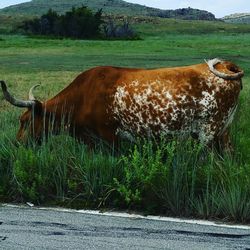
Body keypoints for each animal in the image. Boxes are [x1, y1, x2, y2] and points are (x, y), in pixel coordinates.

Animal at [0, 58, 243, 148]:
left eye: (25, 122)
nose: (17, 143)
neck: (82, 96)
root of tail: (226, 65)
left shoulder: (109, 137)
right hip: (224, 131)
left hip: (209, 133)